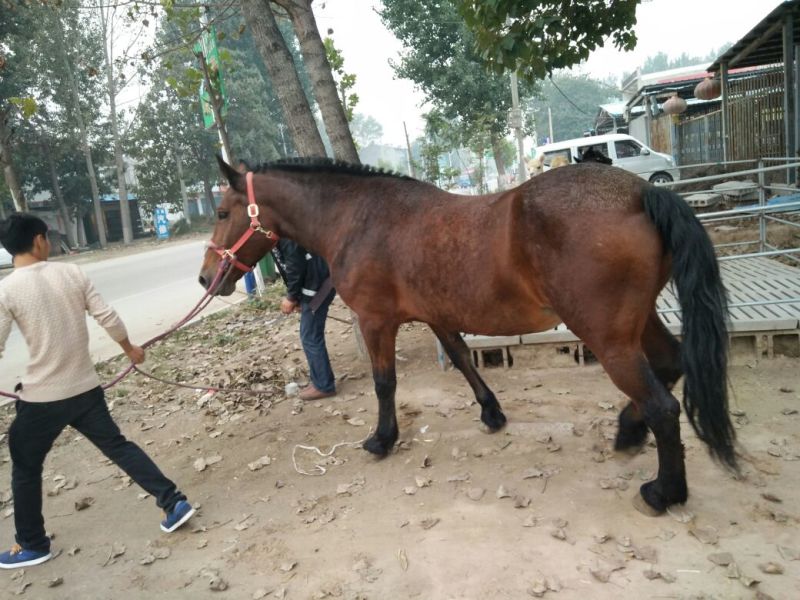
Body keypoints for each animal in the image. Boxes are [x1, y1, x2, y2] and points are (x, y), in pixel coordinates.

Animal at [199, 156, 736, 514]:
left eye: (223, 213)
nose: (207, 279)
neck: (360, 218)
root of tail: (641, 193)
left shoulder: (377, 321)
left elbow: (384, 383)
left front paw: (382, 439)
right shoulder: (436, 314)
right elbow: (460, 358)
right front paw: (491, 413)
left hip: (608, 338)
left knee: (662, 405)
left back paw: (664, 491)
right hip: (638, 324)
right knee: (670, 365)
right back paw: (628, 431)